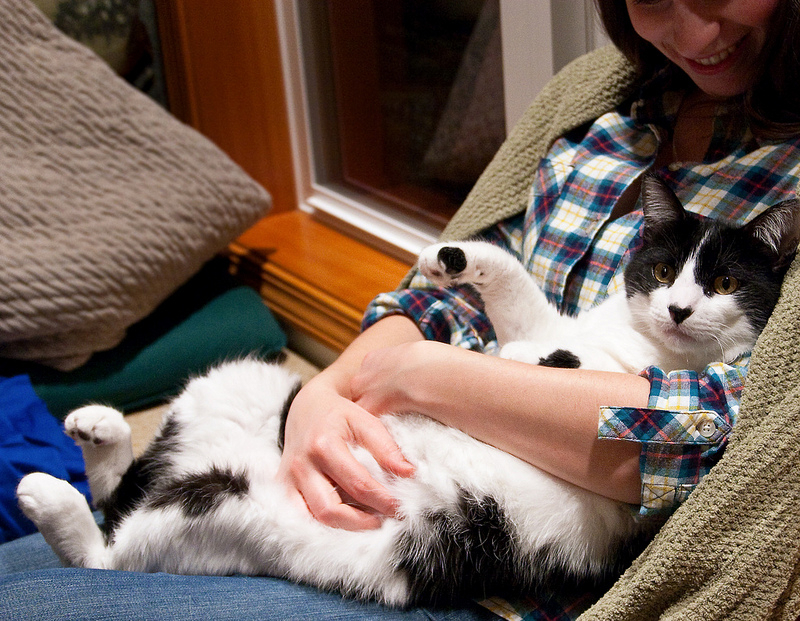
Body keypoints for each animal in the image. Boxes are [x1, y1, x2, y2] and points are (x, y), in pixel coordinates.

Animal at [14, 173, 800, 604]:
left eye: (724, 283)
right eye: (663, 269)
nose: (679, 309)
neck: (641, 345)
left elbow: (575, 372)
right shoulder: (541, 322)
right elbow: (511, 281)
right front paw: (447, 256)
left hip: (220, 508)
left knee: (105, 553)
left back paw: (46, 492)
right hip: (241, 381)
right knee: (121, 487)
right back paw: (97, 429)